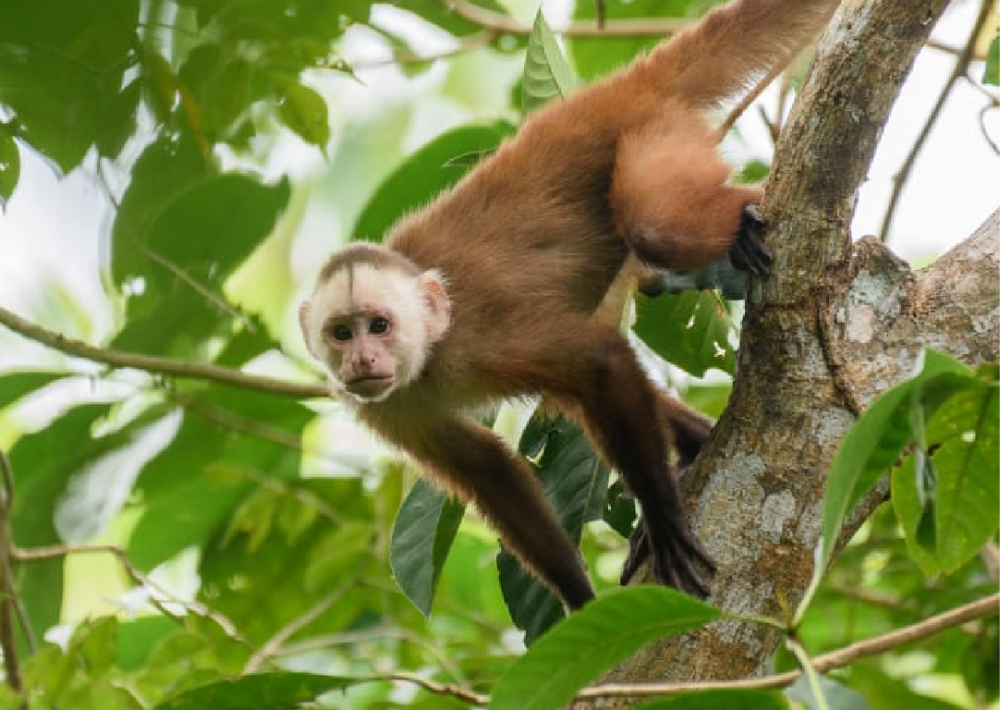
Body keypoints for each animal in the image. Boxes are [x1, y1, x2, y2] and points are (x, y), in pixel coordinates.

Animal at [298, 0, 844, 612]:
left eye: (379, 325)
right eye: (341, 333)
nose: (362, 360)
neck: (431, 355)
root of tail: (616, 89)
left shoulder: (479, 337)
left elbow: (599, 360)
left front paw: (661, 514)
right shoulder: (386, 406)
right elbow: (489, 472)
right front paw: (578, 599)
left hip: (660, 134)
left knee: (655, 228)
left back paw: (750, 216)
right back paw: (696, 445)